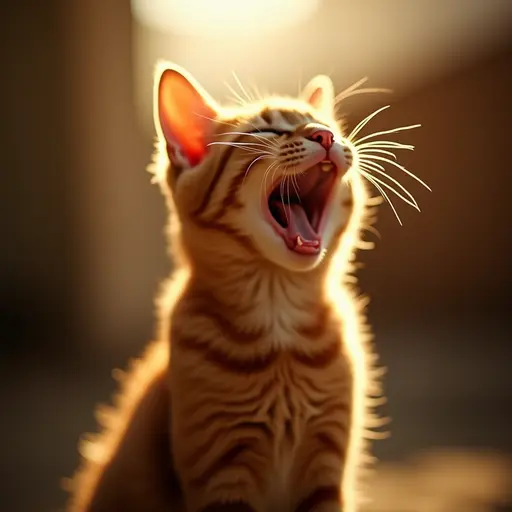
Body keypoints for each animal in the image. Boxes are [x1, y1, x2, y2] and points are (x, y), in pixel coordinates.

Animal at [65, 62, 424, 510]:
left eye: (325, 126)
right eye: (267, 131)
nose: (324, 137)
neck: (280, 317)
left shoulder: (328, 473)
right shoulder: (223, 474)